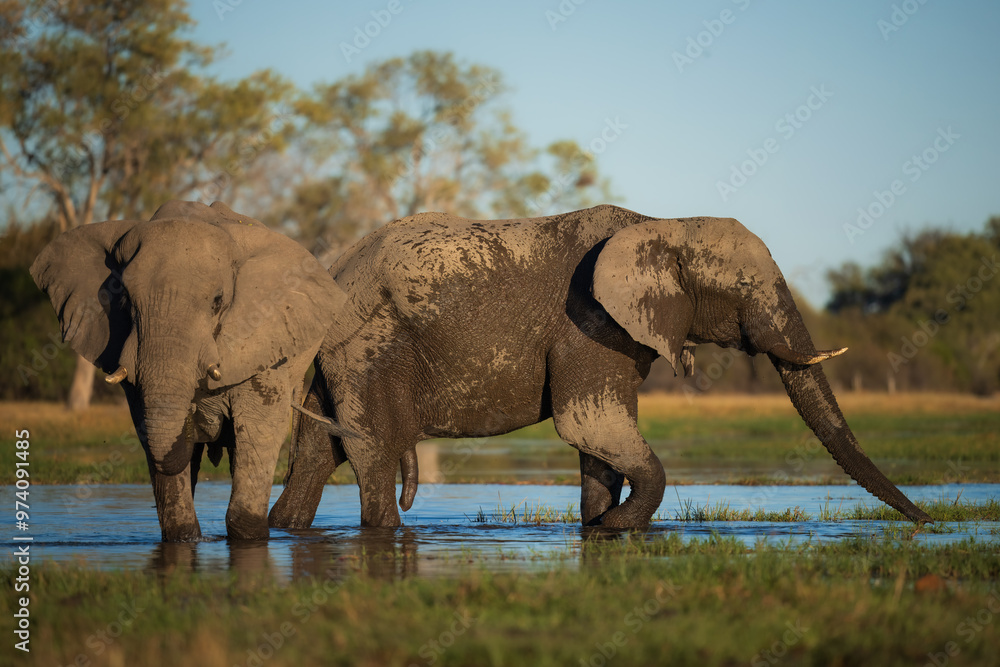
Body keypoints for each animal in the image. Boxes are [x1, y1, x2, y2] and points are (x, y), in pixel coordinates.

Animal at [31, 200, 347, 541]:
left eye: (218, 301)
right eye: (124, 298)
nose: (198, 418)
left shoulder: (265, 341)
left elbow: (259, 425)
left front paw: (248, 535)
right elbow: (153, 431)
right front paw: (185, 538)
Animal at [267, 204, 932, 530]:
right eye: (745, 287)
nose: (928, 523)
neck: (663, 224)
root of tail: (337, 266)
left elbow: (599, 449)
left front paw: (597, 527)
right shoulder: (587, 323)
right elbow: (591, 426)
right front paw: (618, 527)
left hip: (338, 355)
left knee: (319, 452)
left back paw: (285, 527)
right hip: (369, 345)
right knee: (372, 452)